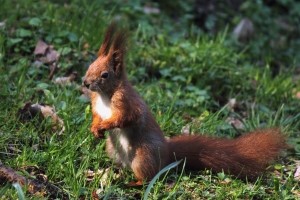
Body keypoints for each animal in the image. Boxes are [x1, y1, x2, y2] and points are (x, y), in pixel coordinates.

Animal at [82, 23, 288, 186]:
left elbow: (126, 118)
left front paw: (104, 125)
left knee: (148, 177)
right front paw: (95, 127)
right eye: (89, 66)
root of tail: (167, 155)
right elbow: (97, 115)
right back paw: (116, 175)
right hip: (113, 151)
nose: (85, 83)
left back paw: (133, 183)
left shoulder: (126, 101)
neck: (105, 95)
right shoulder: (96, 104)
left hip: (142, 157)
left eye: (105, 75)